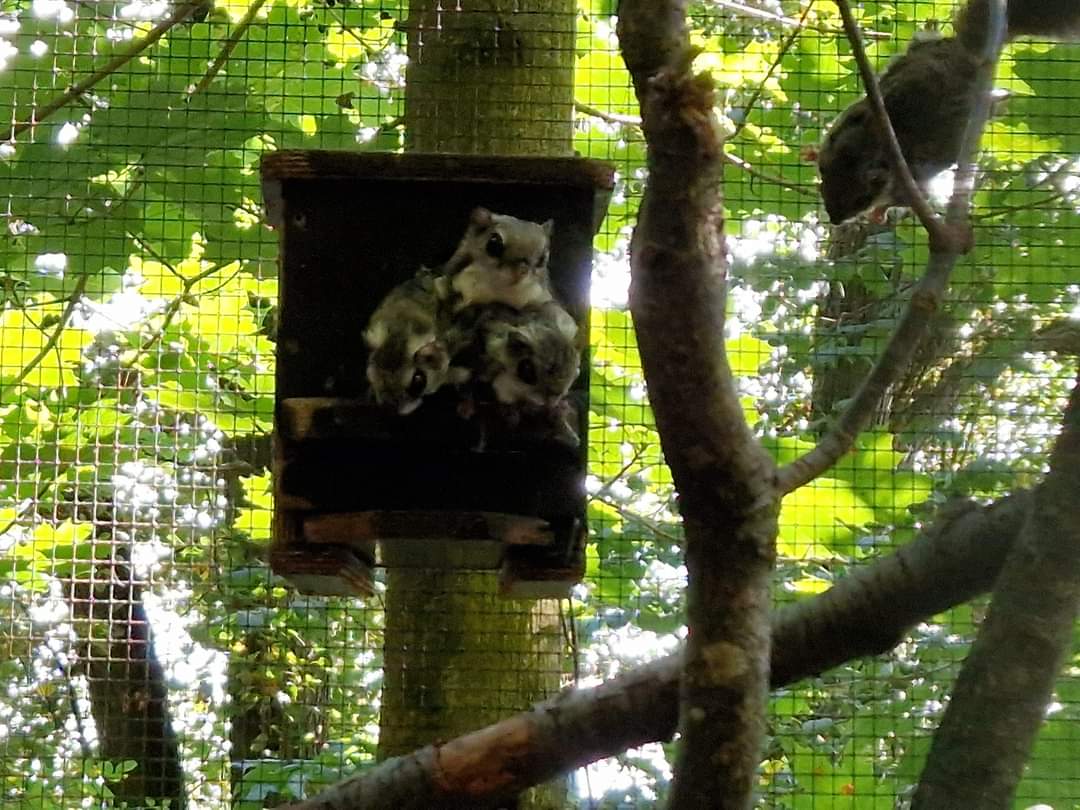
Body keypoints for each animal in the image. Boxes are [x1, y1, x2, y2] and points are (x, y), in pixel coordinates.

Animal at [816, 0, 1080, 225]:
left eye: (861, 199)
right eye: (824, 181)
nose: (835, 220)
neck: (873, 145)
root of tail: (969, 52)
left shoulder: (912, 182)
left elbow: (905, 199)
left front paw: (879, 213)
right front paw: (811, 153)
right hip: (923, 50)